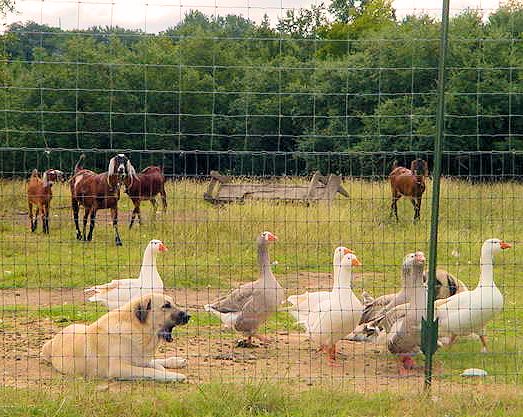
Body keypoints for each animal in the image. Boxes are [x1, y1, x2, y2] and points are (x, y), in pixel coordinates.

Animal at [42, 292, 190, 380]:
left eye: (173, 303)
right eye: (166, 305)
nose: (189, 316)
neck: (138, 329)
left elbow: (153, 365)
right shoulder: (117, 368)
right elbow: (149, 371)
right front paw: (173, 375)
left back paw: (175, 361)